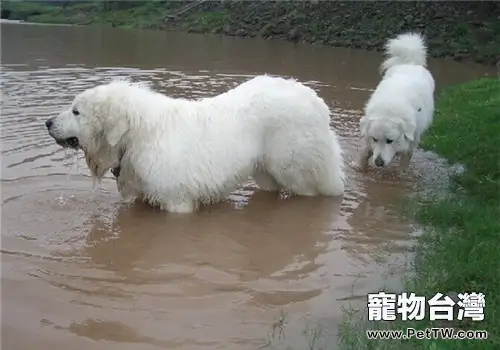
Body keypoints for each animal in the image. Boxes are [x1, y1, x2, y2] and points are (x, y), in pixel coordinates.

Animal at [45, 76, 346, 213]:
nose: (47, 122)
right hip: (265, 172)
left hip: (296, 169)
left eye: (76, 111)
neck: (138, 135)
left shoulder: (177, 203)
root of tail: (315, 102)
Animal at [356, 32, 434, 172]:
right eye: (375, 139)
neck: (389, 110)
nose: (378, 163)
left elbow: (406, 157)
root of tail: (410, 63)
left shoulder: (413, 139)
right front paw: (358, 166)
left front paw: (402, 173)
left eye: (390, 141)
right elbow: (365, 152)